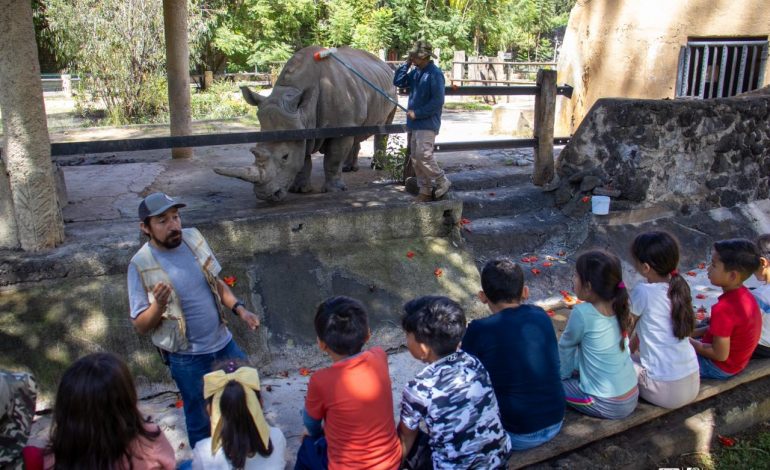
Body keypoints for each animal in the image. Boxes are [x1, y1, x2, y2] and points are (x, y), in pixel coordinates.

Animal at [214, 46, 397, 202]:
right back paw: (348, 168)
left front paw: (334, 190)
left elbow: (333, 159)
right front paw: (299, 190)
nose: (265, 196)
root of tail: (386, 66)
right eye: (254, 151)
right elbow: (303, 160)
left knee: (383, 129)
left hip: (391, 89)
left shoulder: (335, 127)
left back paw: (377, 167)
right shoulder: (301, 128)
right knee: (355, 133)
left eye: (285, 156)